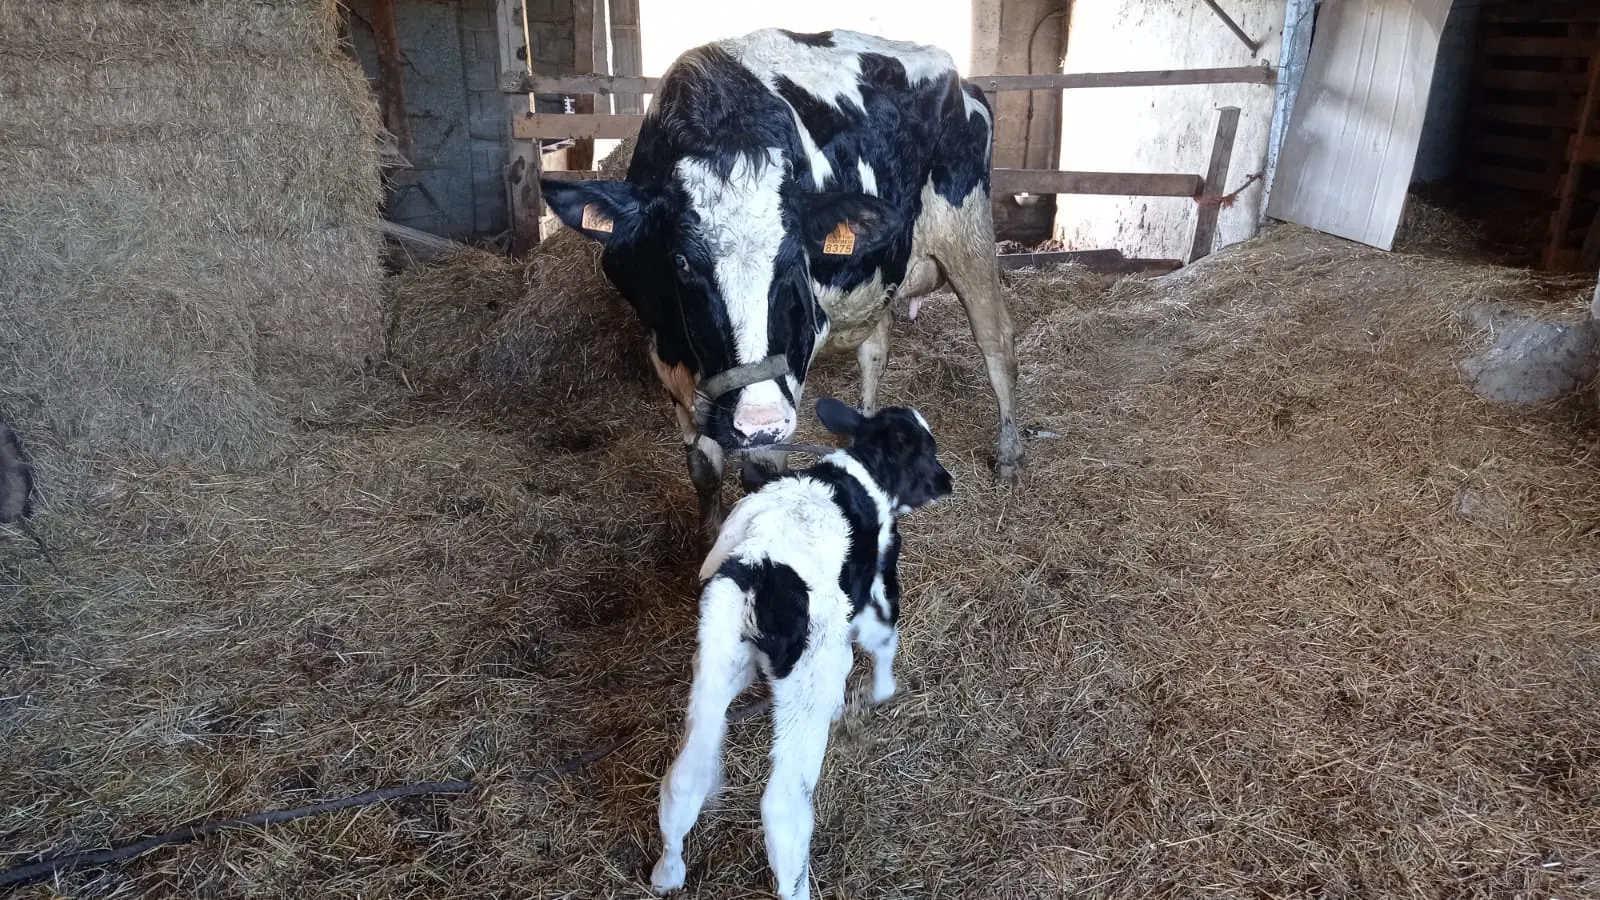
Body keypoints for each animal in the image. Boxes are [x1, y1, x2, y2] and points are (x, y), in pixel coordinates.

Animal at [544, 26, 1024, 531]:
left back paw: (1010, 456)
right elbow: (704, 469)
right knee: (875, 349)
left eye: (795, 259)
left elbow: (763, 472)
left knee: (996, 343)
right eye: (680, 262)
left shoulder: (797, 346)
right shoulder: (665, 352)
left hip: (969, 233)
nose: (759, 420)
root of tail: (964, 82)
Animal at [649, 395, 947, 896]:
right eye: (927, 449)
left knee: (686, 776)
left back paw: (669, 869)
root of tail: (756, 567)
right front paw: (882, 693)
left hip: (714, 661)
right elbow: (883, 640)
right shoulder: (878, 582)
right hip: (807, 677)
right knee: (783, 805)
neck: (861, 473)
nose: (947, 482)